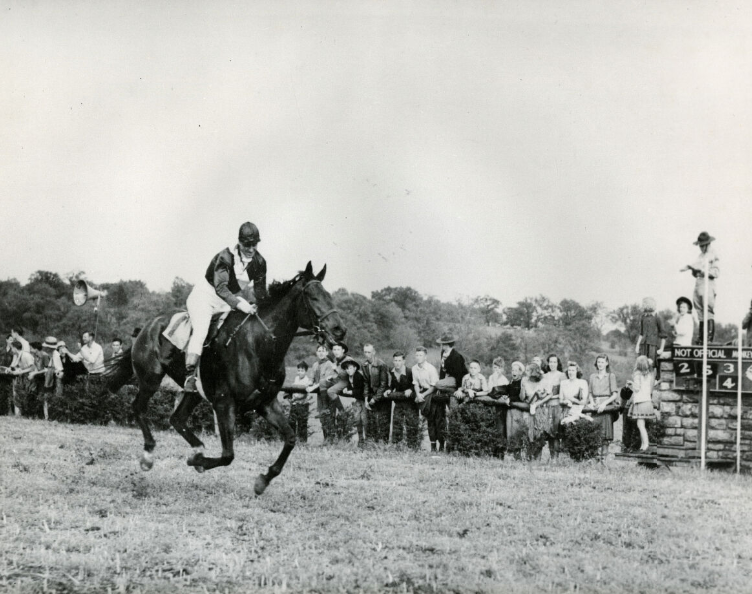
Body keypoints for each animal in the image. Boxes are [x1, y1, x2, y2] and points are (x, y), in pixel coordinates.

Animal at [103, 264, 346, 494]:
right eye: (312, 297)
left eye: (329, 296)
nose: (340, 329)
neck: (258, 344)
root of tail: (147, 327)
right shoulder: (224, 402)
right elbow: (228, 455)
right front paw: (198, 461)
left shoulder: (266, 402)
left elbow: (291, 438)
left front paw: (263, 480)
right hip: (150, 379)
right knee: (138, 407)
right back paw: (149, 455)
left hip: (193, 391)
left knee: (177, 419)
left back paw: (197, 447)